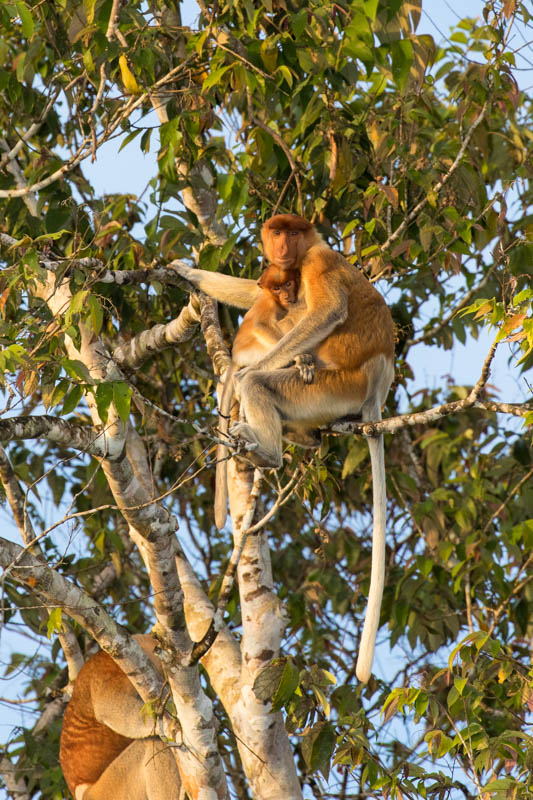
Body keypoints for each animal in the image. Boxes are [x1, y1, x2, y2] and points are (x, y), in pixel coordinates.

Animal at [172, 214, 392, 680]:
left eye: (292, 233)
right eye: (276, 233)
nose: (282, 246)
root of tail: (376, 386)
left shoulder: (316, 263)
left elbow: (325, 312)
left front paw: (246, 373)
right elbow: (253, 292)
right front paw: (188, 272)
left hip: (333, 386)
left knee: (265, 380)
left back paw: (266, 442)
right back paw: (298, 437)